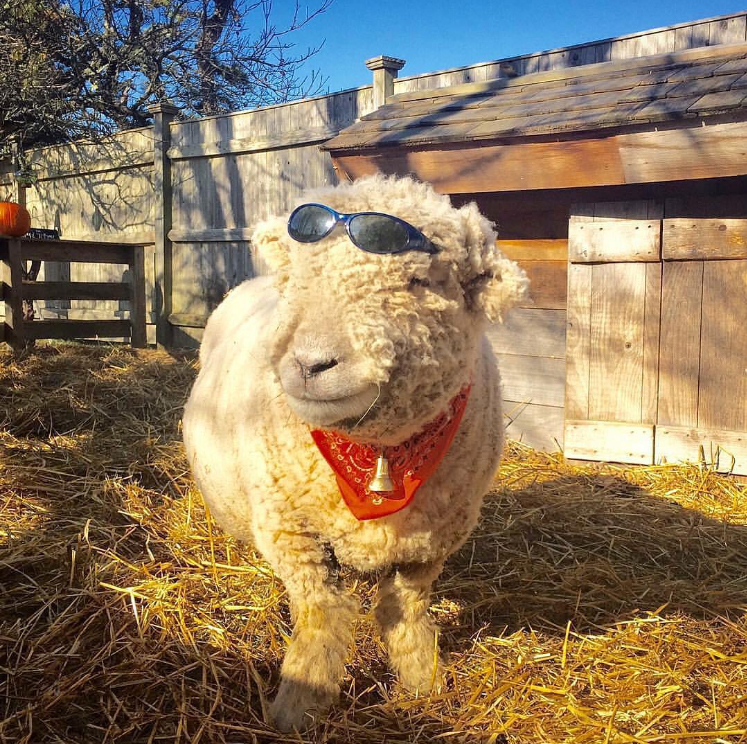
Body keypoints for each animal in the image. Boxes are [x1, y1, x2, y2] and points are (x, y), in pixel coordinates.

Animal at [182, 174, 528, 731]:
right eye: (299, 279)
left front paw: (422, 682)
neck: (377, 458)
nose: (309, 363)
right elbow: (321, 618)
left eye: (420, 282)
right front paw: (298, 706)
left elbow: (405, 610)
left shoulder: (433, 543)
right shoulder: (292, 533)